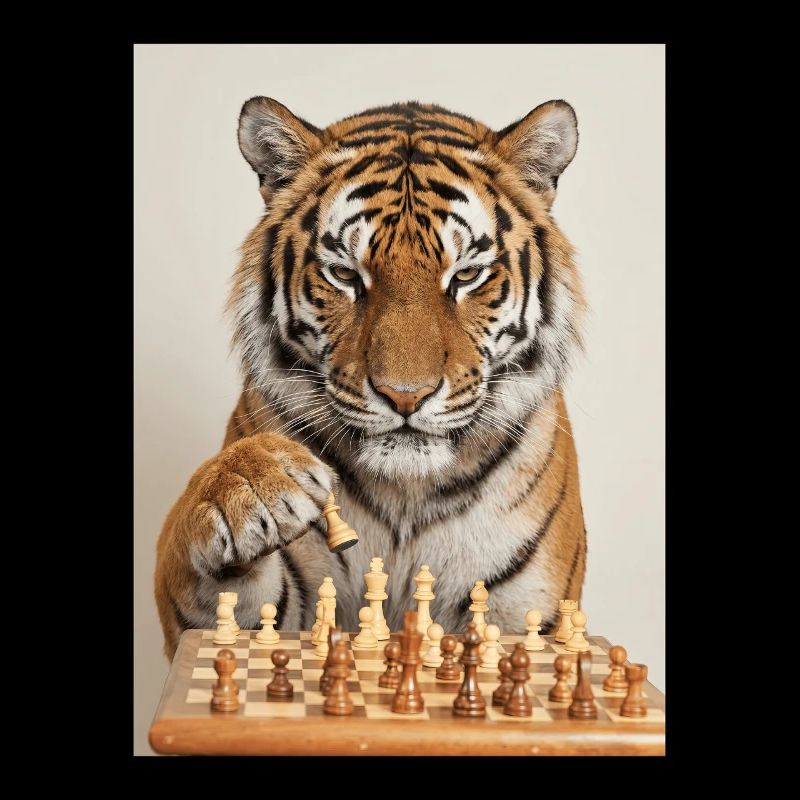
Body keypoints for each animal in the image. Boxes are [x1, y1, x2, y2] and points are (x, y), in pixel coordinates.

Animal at [155, 97, 588, 660]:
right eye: (344, 274)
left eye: (466, 276)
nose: (405, 397)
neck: (406, 498)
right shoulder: (244, 620)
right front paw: (249, 483)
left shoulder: (530, 616)